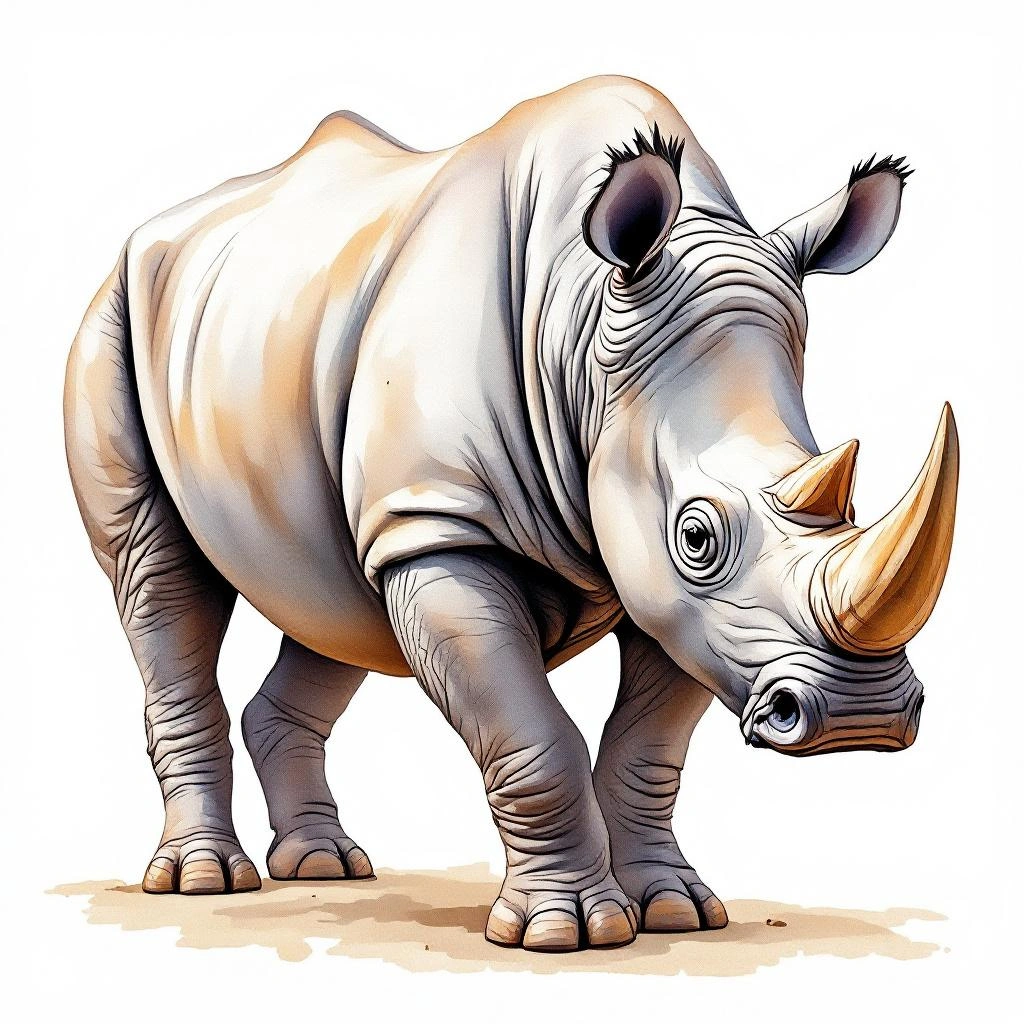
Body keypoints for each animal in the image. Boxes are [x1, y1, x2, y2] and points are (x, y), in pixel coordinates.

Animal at [64, 76, 958, 953]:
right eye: (697, 534)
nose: (862, 717)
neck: (583, 331)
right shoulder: (447, 526)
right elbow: (534, 736)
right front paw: (565, 932)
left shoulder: (672, 595)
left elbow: (650, 746)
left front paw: (674, 911)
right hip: (113, 318)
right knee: (161, 577)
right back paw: (203, 879)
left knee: (333, 598)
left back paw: (325, 867)